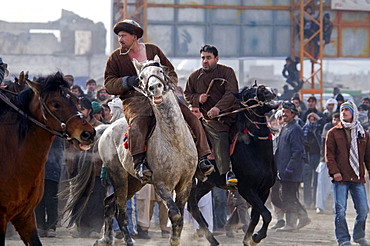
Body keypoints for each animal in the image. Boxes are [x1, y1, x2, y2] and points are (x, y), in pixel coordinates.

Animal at [67, 55, 198, 246]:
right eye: (141, 77)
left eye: (160, 71)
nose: (155, 88)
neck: (175, 141)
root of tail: (106, 129)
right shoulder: (161, 184)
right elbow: (175, 214)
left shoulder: (185, 184)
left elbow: (180, 217)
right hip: (119, 177)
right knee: (120, 210)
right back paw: (127, 240)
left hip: (135, 181)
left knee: (109, 203)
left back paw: (106, 238)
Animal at [186, 83, 278, 246]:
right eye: (247, 93)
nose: (267, 90)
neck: (255, 149)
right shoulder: (247, 189)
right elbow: (266, 214)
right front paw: (256, 237)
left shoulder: (264, 190)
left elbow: (256, 217)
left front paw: (249, 239)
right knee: (192, 205)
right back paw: (209, 237)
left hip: (206, 183)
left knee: (192, 205)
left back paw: (205, 233)